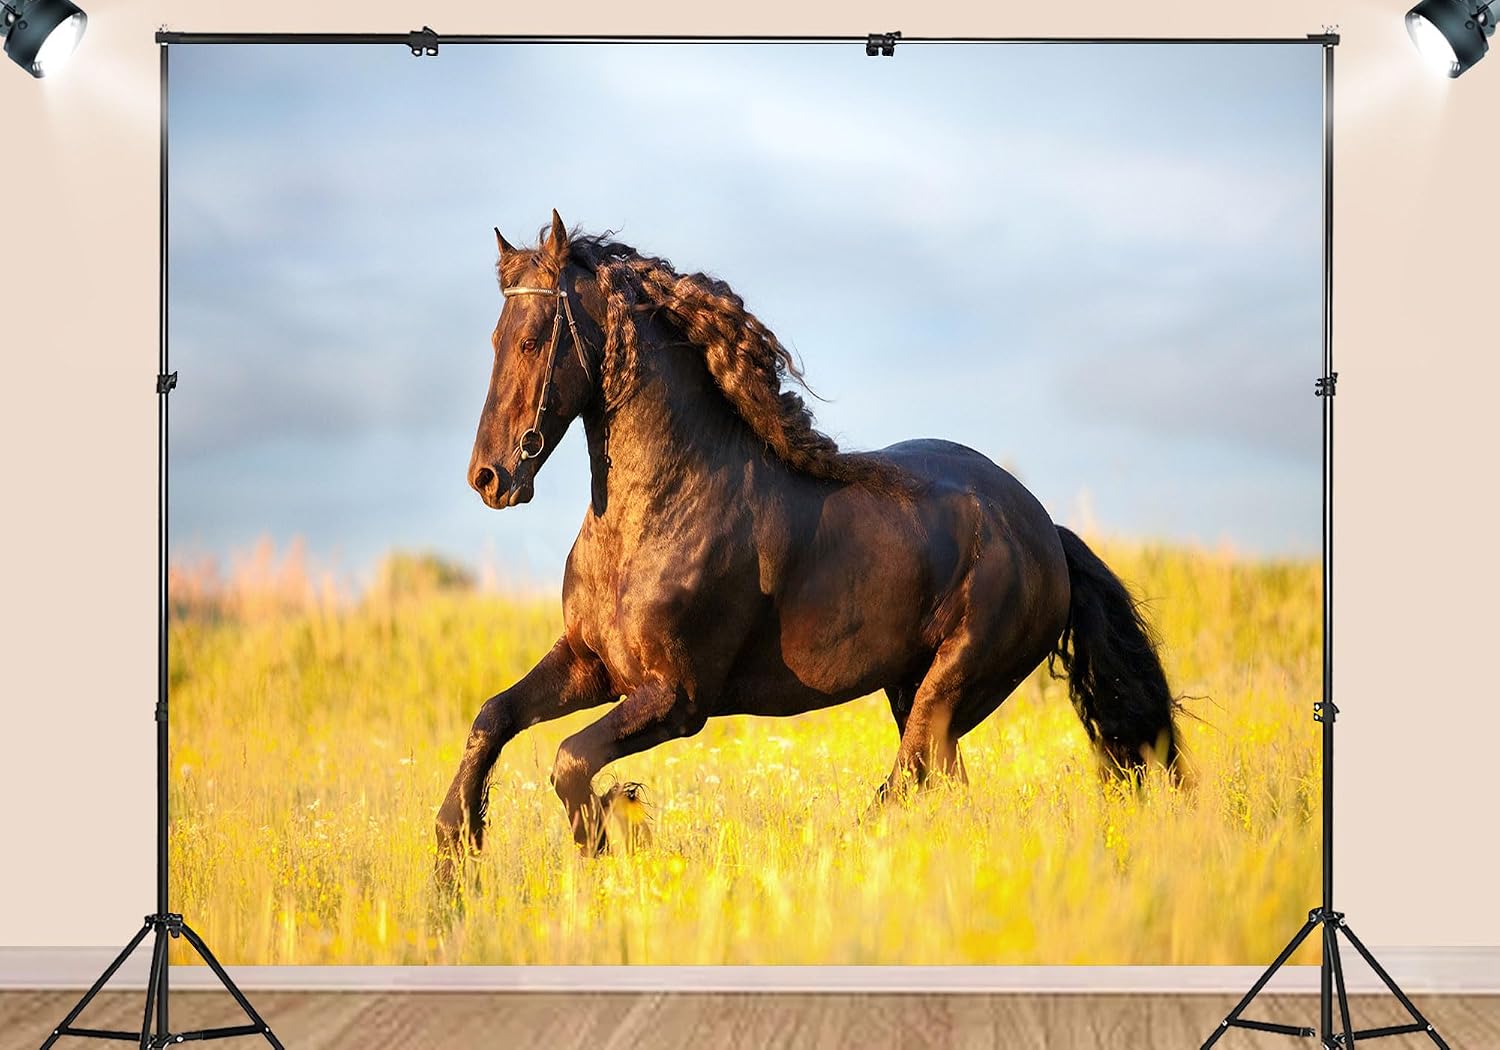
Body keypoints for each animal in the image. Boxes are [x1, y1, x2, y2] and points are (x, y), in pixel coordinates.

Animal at [434, 210, 1178, 872]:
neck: (652, 517)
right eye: (495, 340)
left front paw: (614, 836)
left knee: (905, 782)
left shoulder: (678, 698)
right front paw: (455, 853)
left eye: (533, 340)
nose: (489, 477)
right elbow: (492, 717)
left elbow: (570, 761)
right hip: (914, 691)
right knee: (941, 787)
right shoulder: (591, 664)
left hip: (951, 686)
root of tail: (1043, 530)